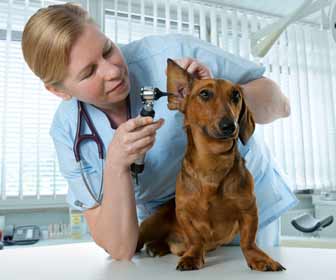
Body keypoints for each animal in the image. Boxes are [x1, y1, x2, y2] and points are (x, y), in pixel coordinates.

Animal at [135, 58, 284, 272]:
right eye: (204, 93)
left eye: (236, 95)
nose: (230, 126)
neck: (212, 162)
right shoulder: (183, 212)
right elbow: (195, 238)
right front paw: (192, 257)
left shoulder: (249, 209)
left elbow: (248, 240)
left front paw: (260, 258)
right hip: (152, 222)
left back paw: (157, 246)